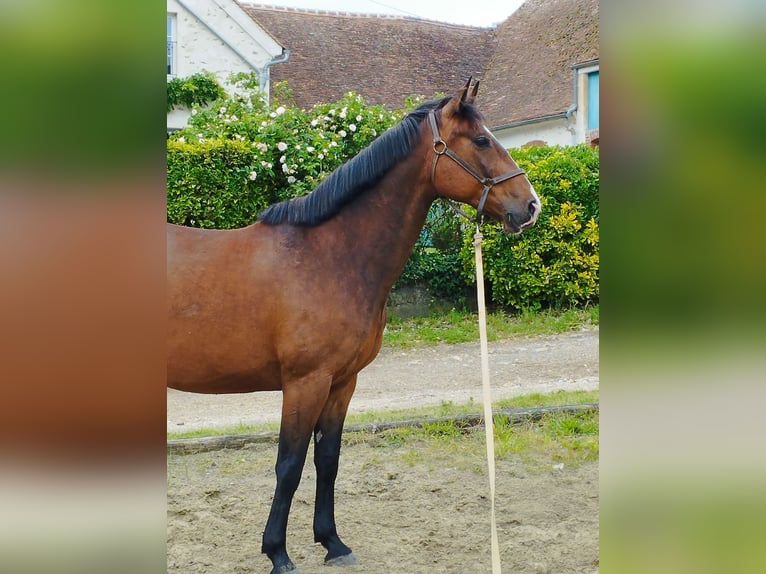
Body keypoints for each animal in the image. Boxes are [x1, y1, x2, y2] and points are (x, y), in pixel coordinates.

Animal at [168, 82, 540, 574]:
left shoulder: (343, 382)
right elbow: (289, 464)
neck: (331, 255)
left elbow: (328, 459)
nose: (530, 205)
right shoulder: (305, 382)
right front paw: (278, 552)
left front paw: (332, 542)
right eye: (481, 140)